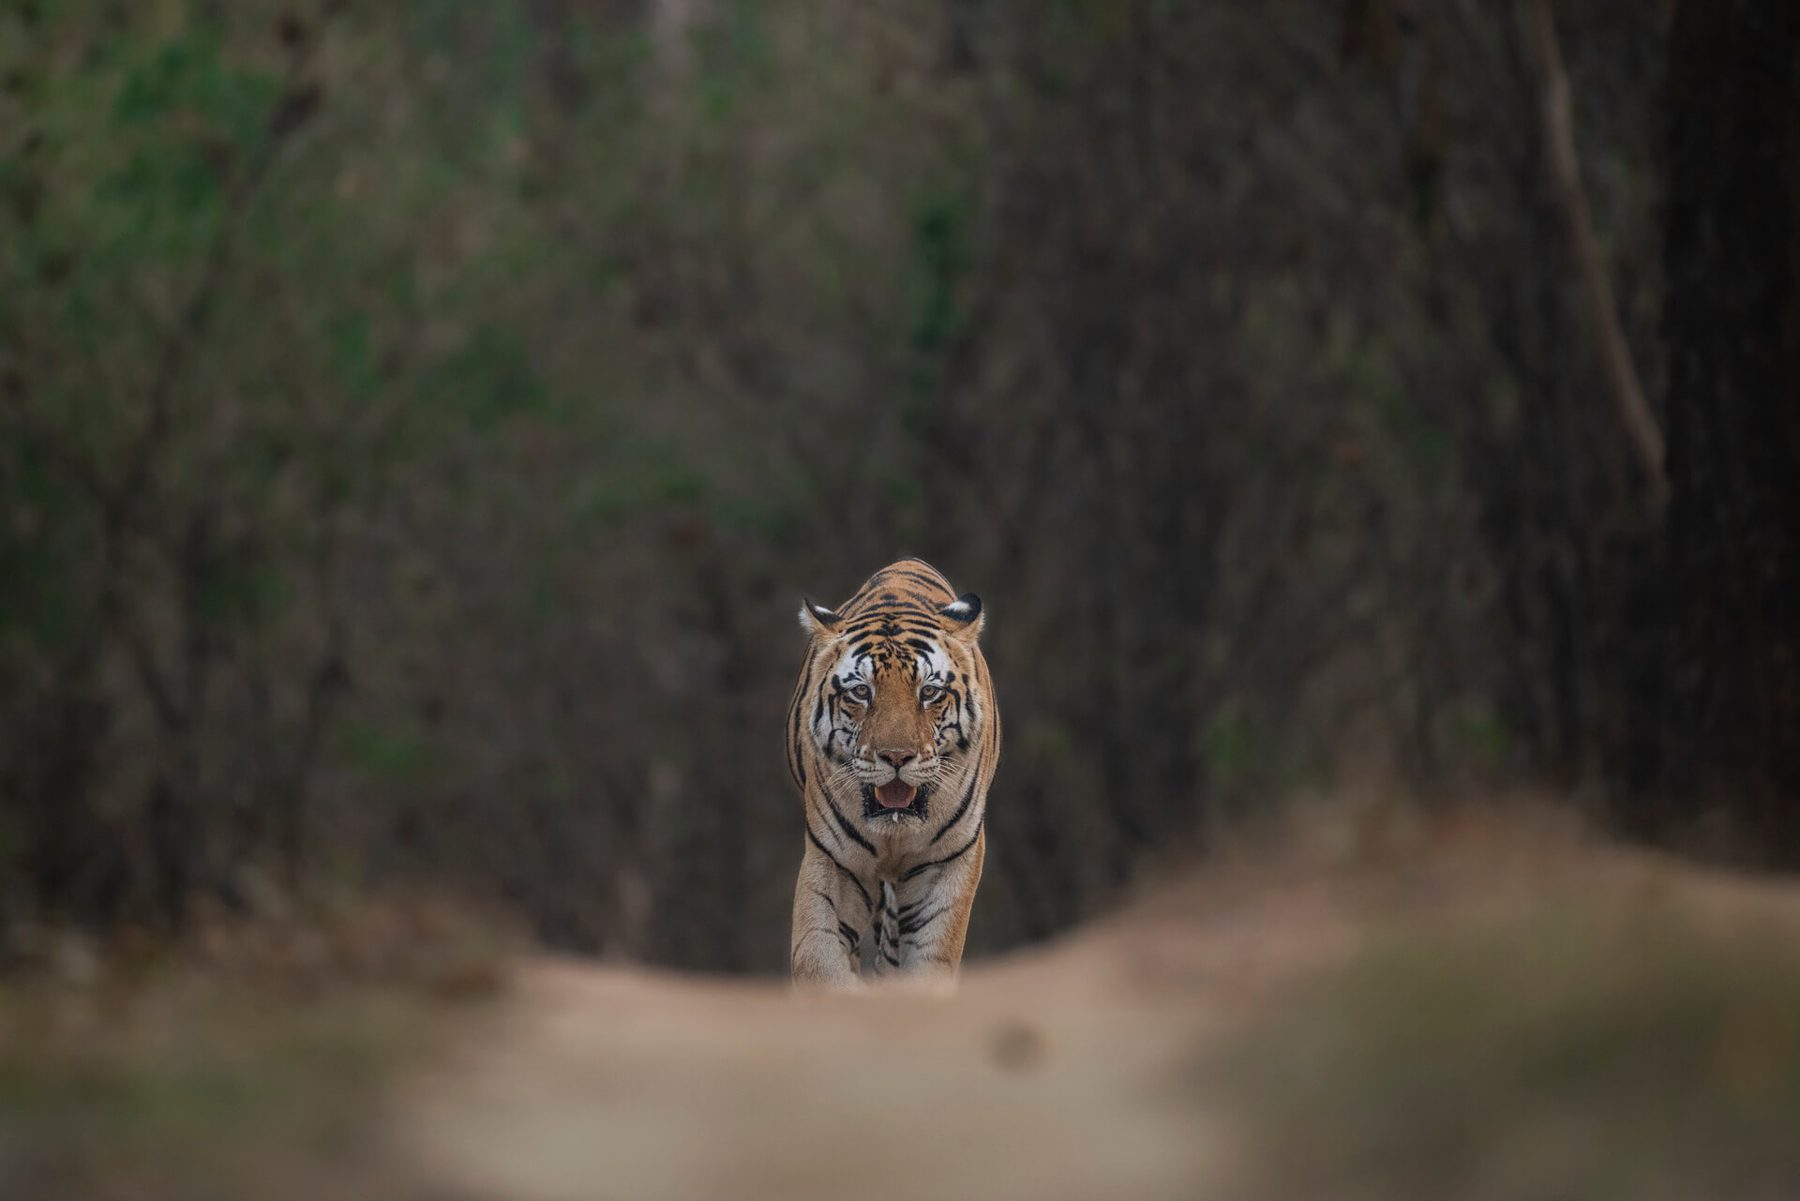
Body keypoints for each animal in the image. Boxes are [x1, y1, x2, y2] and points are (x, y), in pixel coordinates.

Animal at [786, 558, 1001, 991]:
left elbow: (929, 963)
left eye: (929, 693)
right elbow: (818, 959)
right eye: (861, 692)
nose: (897, 757)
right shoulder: (835, 862)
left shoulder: (948, 861)